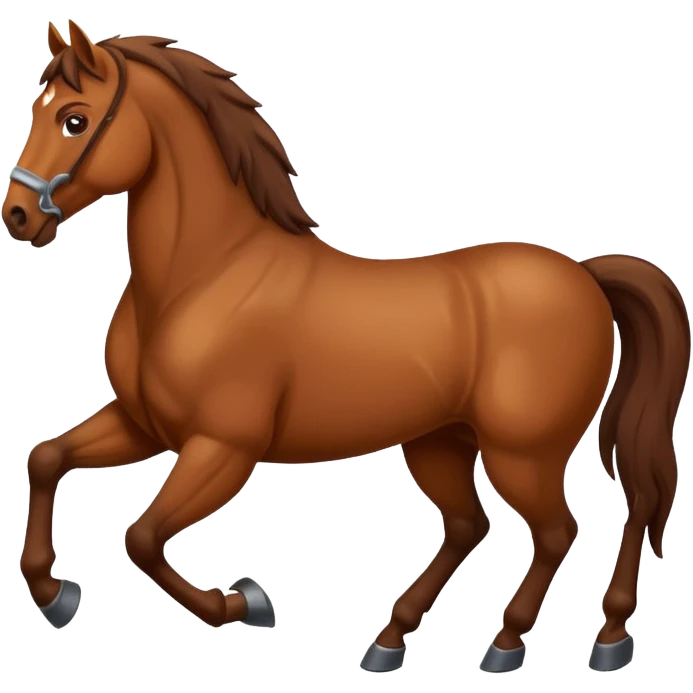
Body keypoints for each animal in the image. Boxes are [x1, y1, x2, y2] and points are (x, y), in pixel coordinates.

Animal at [3, 20, 689, 674]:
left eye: (74, 119)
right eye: (37, 108)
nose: (17, 217)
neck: (206, 275)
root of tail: (585, 275)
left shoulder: (222, 447)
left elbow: (142, 539)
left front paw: (247, 602)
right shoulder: (144, 425)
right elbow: (47, 459)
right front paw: (54, 594)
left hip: (523, 452)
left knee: (562, 529)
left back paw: (547, 642)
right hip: (440, 443)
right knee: (473, 525)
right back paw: (391, 641)